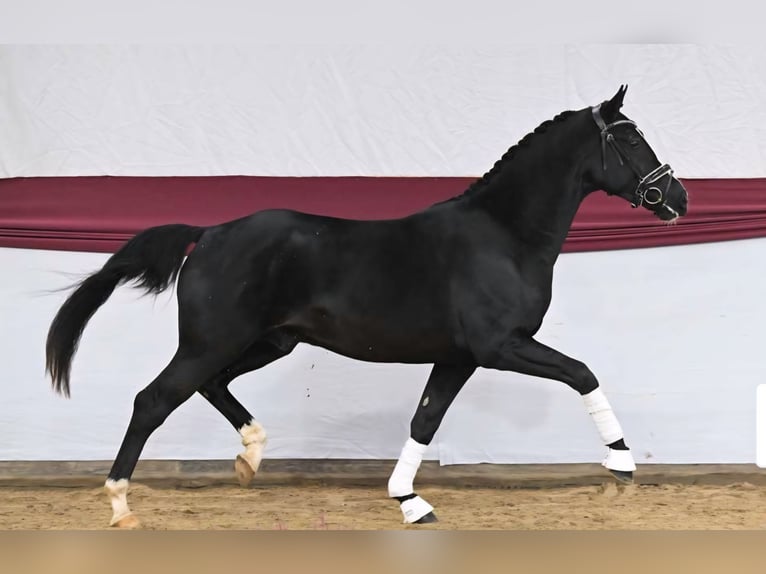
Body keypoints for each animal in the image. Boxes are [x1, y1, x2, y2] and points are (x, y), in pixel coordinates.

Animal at [45, 86, 688, 528]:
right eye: (631, 139)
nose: (676, 197)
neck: (503, 235)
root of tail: (208, 234)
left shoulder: (459, 356)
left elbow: (426, 420)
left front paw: (410, 502)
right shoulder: (501, 346)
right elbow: (582, 372)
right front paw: (621, 467)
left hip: (266, 341)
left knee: (210, 385)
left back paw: (250, 458)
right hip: (212, 341)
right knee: (153, 400)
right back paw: (120, 505)